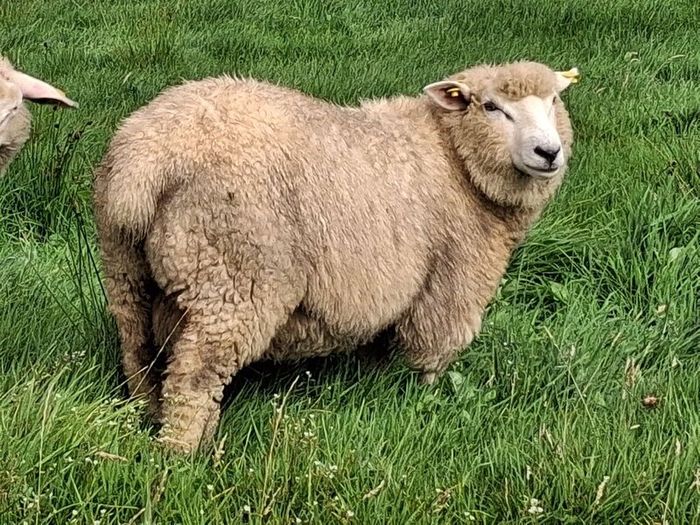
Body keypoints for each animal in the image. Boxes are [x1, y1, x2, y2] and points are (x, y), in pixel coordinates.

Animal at [94, 61, 578, 452]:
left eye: (554, 100)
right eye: (491, 107)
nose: (549, 152)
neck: (453, 158)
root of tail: (146, 160)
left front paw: (378, 388)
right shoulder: (449, 286)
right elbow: (429, 357)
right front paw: (422, 403)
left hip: (127, 270)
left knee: (138, 351)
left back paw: (151, 415)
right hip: (234, 277)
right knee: (195, 375)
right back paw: (183, 453)